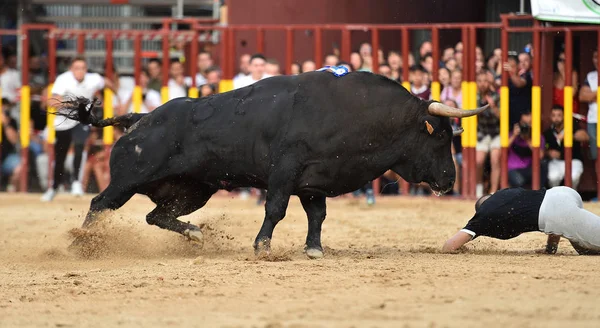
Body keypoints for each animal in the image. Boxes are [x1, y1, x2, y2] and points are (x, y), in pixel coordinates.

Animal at [57, 72, 488, 258]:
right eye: (441, 136)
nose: (450, 180)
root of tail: (142, 118)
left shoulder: (315, 182)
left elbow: (317, 216)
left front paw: (314, 249)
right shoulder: (286, 170)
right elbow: (276, 208)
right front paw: (262, 246)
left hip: (195, 190)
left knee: (157, 215)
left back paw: (195, 234)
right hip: (128, 180)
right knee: (99, 204)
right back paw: (81, 244)